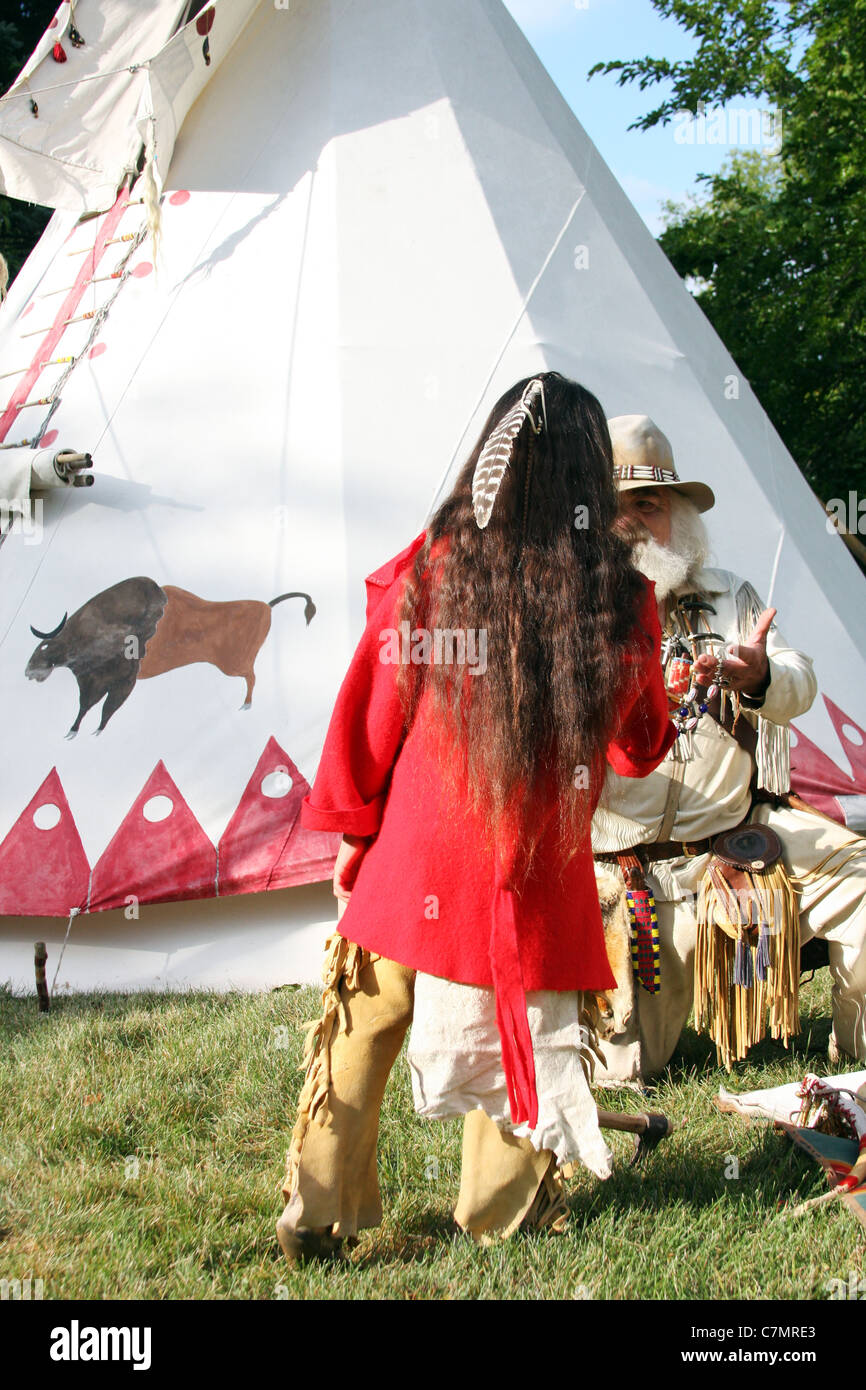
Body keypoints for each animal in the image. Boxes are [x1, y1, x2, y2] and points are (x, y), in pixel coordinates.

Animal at [24, 572, 318, 733]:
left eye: (45, 646)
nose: (28, 671)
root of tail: (266, 606)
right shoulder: (92, 683)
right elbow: (86, 706)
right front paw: (74, 731)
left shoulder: (120, 680)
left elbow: (105, 706)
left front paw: (92, 730)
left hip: (232, 665)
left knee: (251, 677)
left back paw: (246, 704)